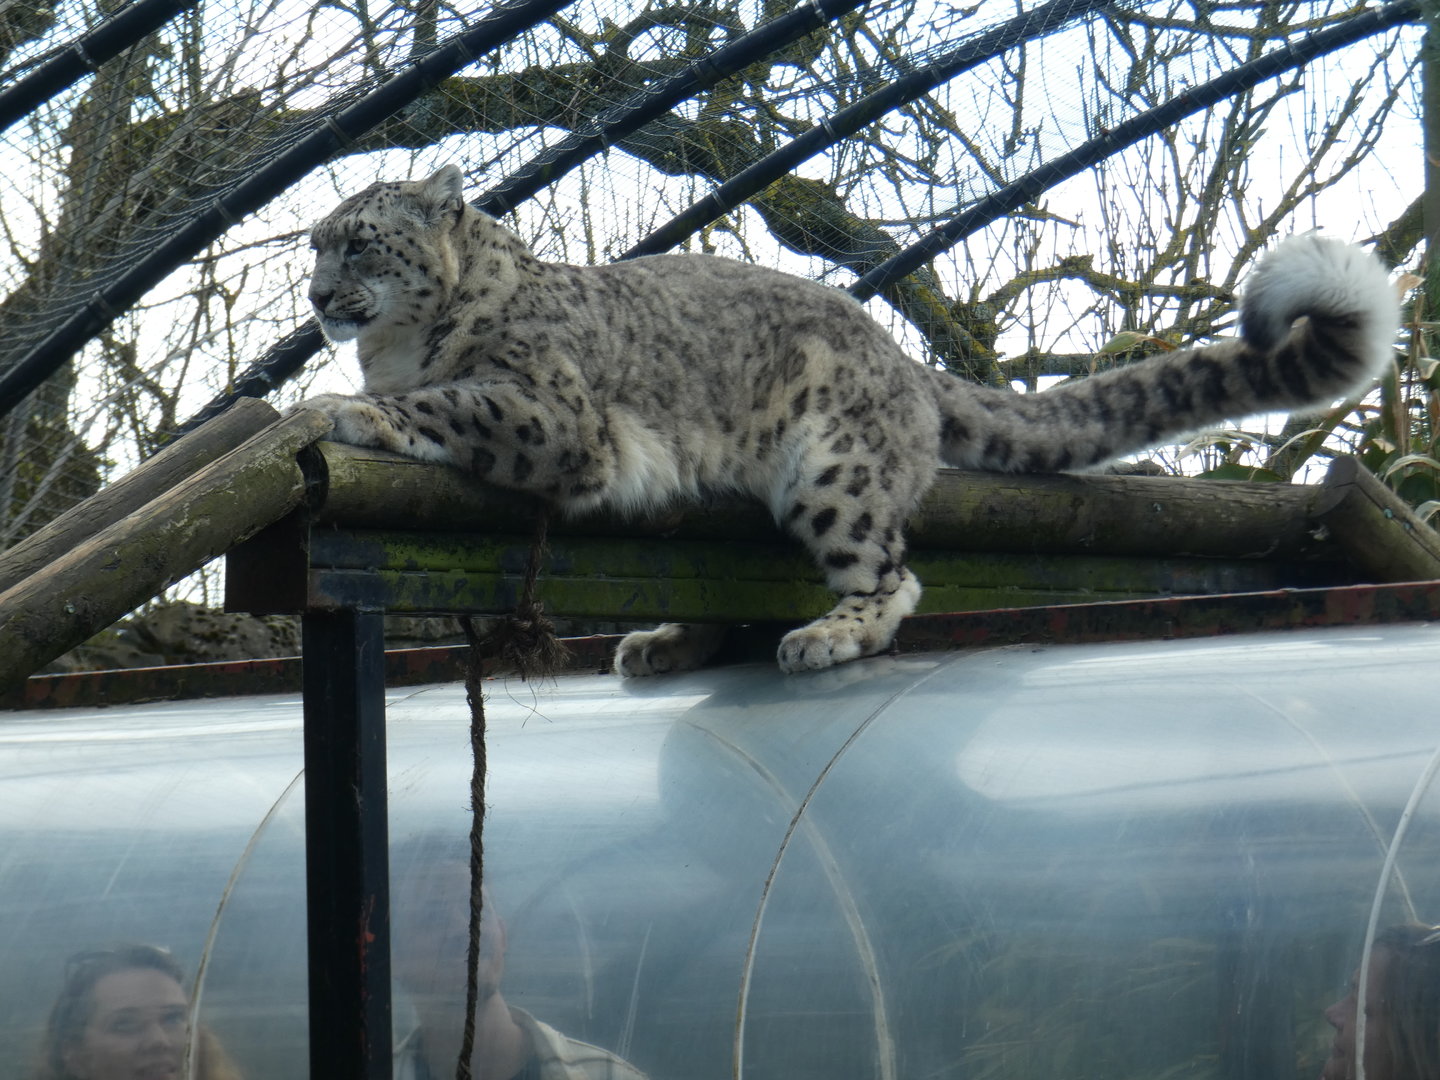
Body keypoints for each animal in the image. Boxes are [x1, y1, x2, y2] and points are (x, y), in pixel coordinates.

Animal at [298, 163, 1399, 676]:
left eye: (358, 243)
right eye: (315, 244)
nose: (313, 297)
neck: (401, 337)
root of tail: (900, 355)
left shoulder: (552, 410)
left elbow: (451, 400)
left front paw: (345, 407)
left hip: (833, 469)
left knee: (892, 574)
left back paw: (824, 637)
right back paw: (661, 641)